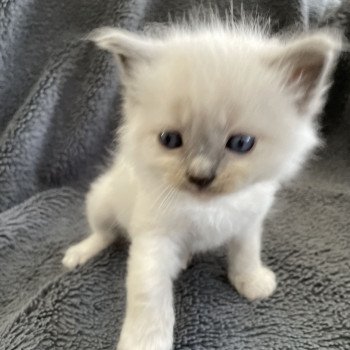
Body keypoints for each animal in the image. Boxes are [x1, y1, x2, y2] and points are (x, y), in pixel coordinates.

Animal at [62, 18, 340, 350]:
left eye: (241, 143)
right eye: (170, 140)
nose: (201, 177)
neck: (208, 207)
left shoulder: (248, 222)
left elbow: (245, 255)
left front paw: (251, 282)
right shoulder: (153, 241)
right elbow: (150, 297)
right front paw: (145, 342)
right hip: (101, 202)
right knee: (103, 233)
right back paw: (79, 253)